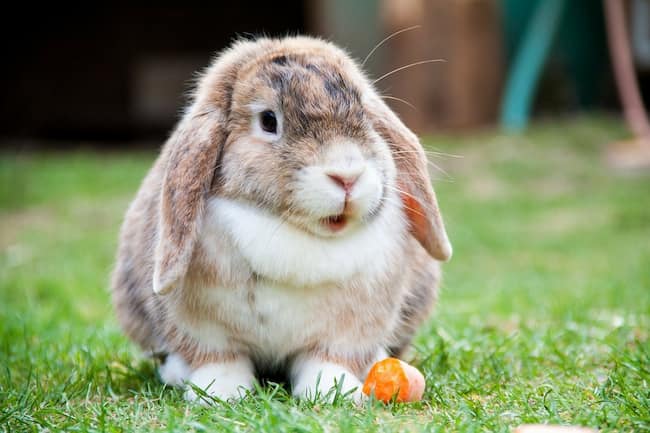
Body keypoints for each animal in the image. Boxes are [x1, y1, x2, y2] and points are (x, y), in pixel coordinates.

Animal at [111, 36, 452, 404]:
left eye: (363, 112)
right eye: (268, 121)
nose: (347, 175)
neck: (294, 232)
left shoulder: (348, 330)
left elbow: (328, 360)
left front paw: (333, 392)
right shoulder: (203, 329)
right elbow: (219, 359)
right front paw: (220, 393)